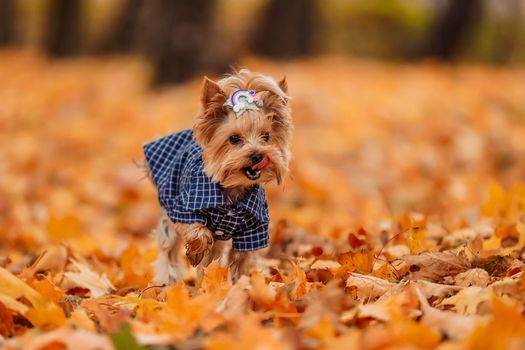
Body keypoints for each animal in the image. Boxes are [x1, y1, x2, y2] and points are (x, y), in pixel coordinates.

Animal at [143, 68, 290, 284]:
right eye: (234, 139)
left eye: (266, 136)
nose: (257, 155)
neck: (232, 189)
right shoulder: (185, 204)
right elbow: (198, 229)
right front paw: (196, 252)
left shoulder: (253, 229)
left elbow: (241, 260)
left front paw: (239, 285)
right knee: (168, 248)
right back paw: (168, 280)